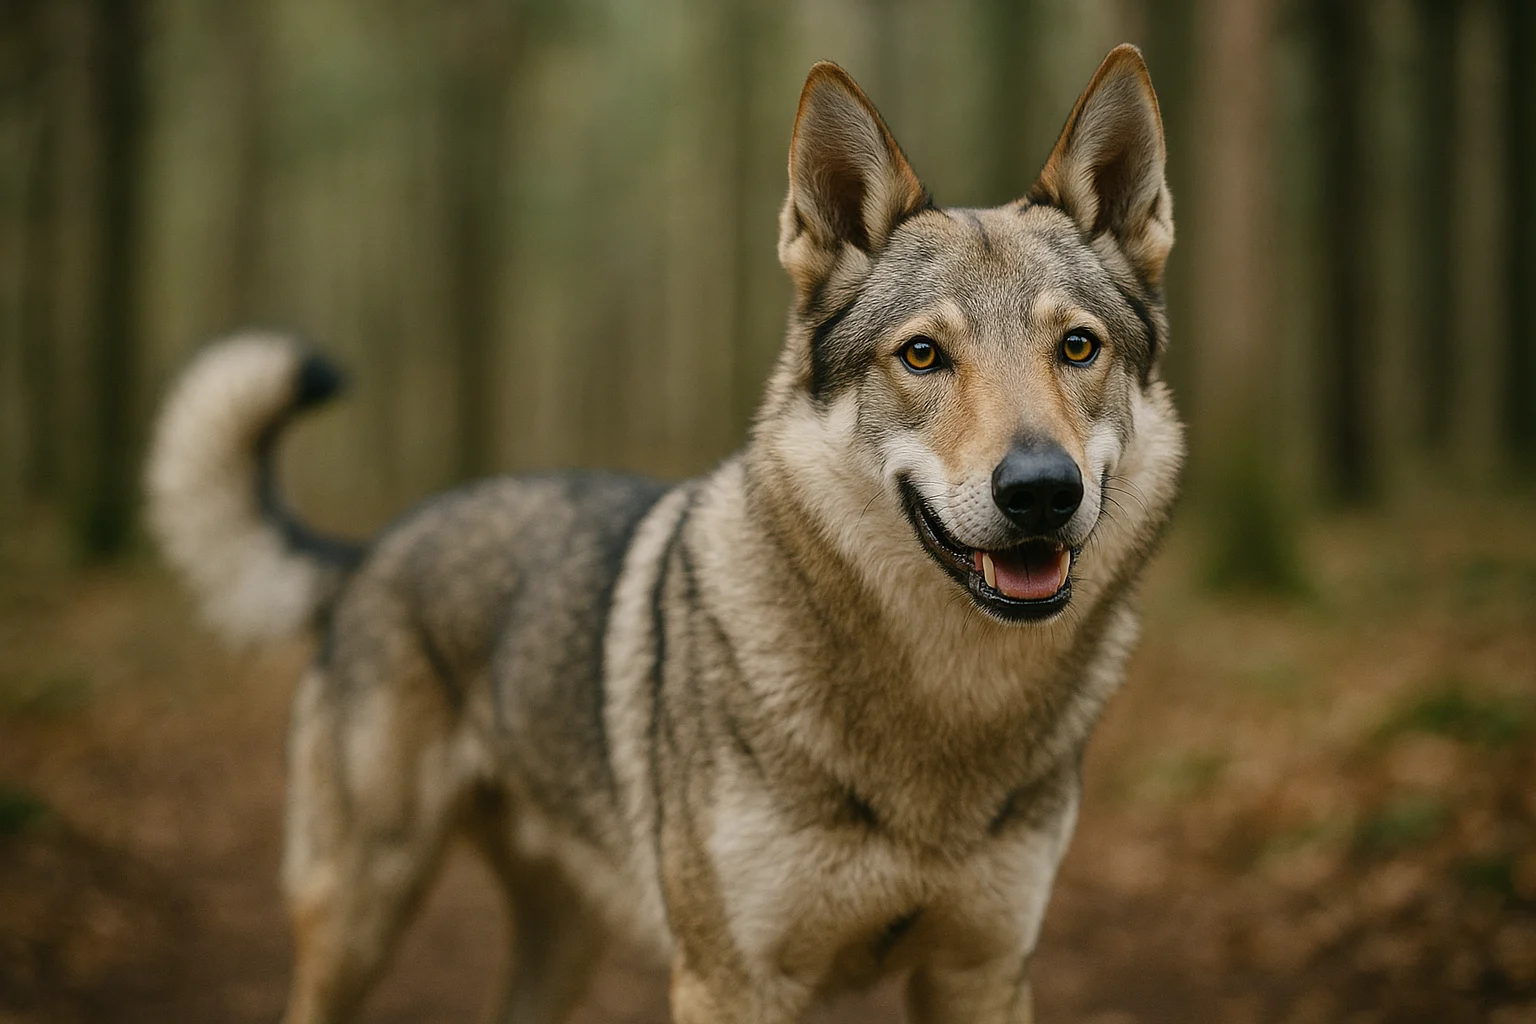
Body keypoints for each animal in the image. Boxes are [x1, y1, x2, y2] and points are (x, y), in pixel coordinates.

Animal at [146, 44, 1183, 1024]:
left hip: (562, 941)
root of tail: (370, 551)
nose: (1042, 490)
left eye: (1077, 347)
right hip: (361, 914)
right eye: (924, 356)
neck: (949, 710)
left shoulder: (982, 973)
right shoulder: (729, 983)